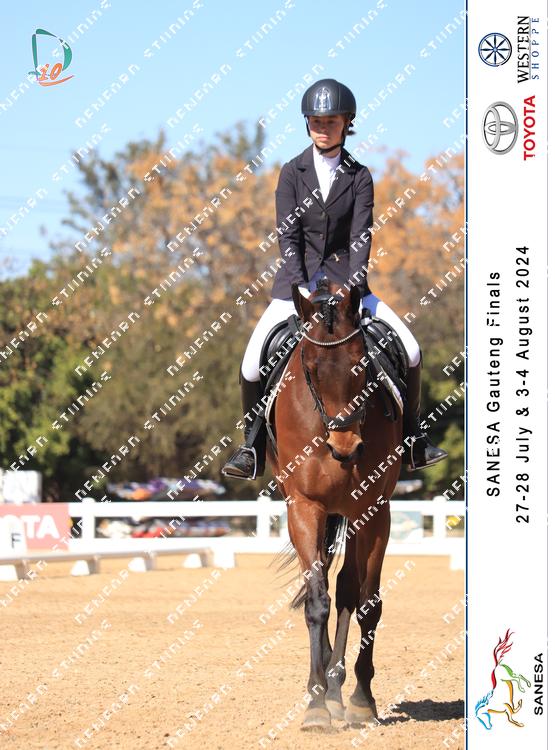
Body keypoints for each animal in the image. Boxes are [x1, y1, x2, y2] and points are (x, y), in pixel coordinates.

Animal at [267, 279, 404, 729]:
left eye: (363, 363)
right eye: (308, 368)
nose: (345, 449)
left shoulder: (374, 511)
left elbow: (367, 603)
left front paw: (361, 699)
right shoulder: (305, 507)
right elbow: (316, 601)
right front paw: (314, 705)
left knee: (346, 588)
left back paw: (337, 688)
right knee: (326, 583)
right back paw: (325, 688)